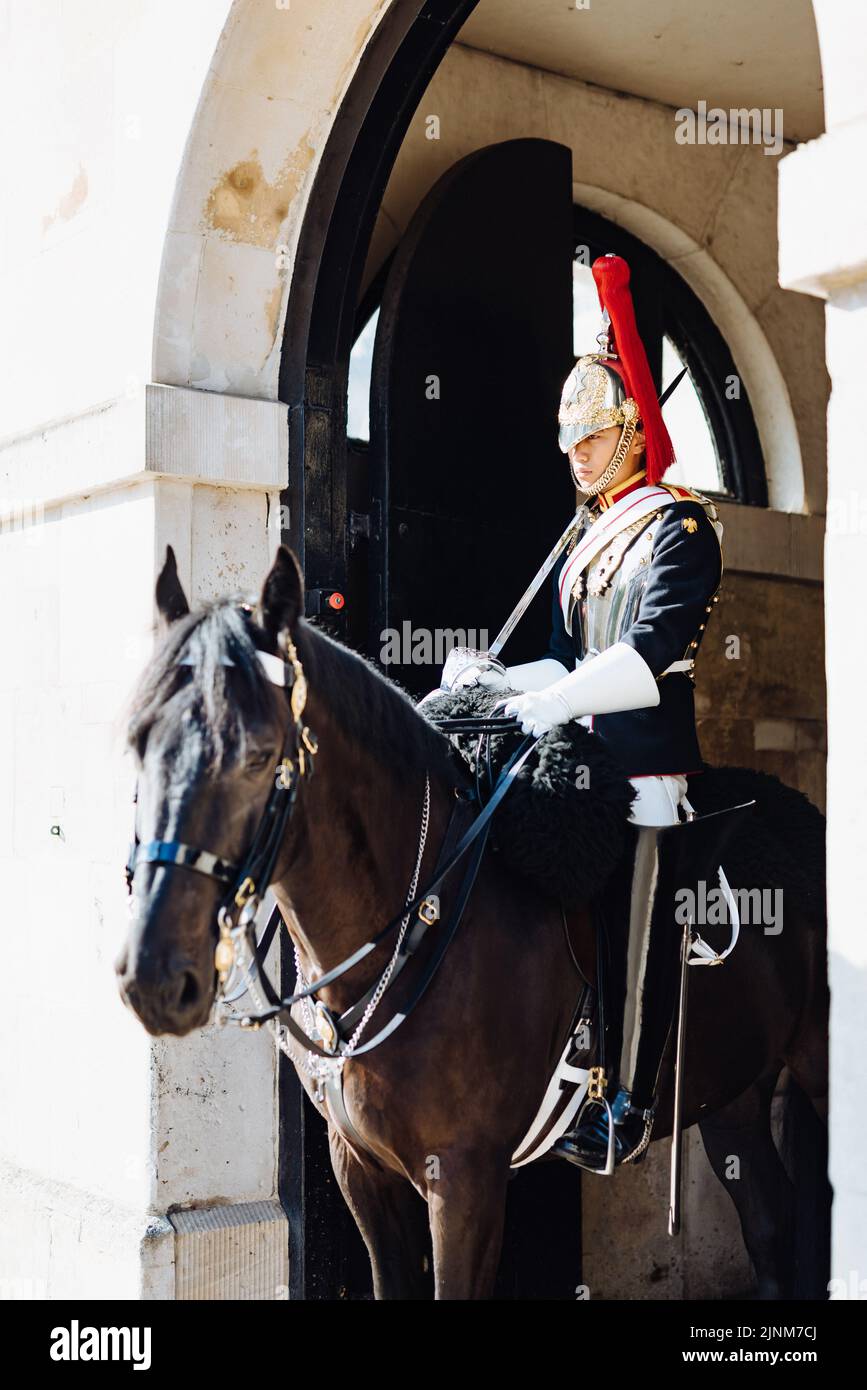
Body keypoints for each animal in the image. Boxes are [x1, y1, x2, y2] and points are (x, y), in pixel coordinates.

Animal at [115, 547, 828, 1295]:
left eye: (256, 752)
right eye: (136, 741)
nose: (154, 977)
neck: (407, 932)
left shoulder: (465, 1178)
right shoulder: (360, 1168)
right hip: (733, 1090)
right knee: (769, 1218)